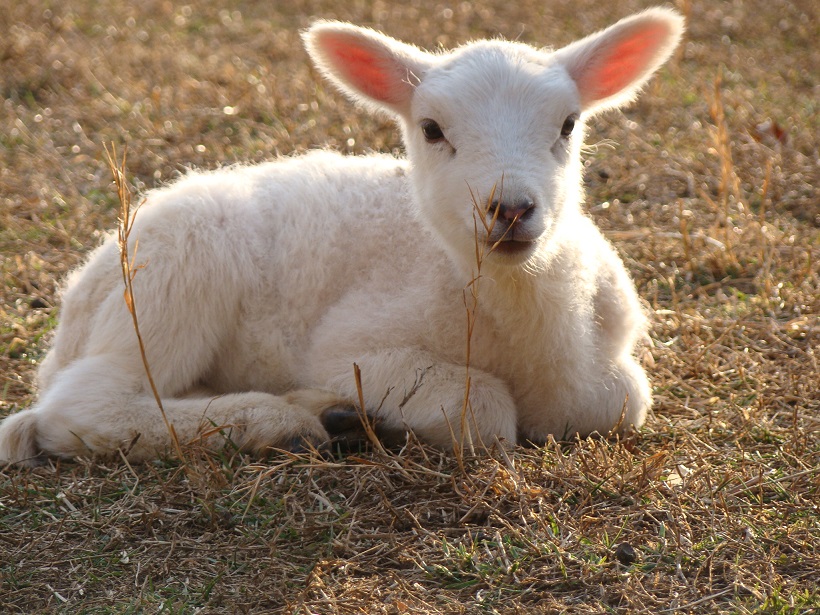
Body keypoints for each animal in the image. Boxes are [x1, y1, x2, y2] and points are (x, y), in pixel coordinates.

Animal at [0, 8, 684, 466]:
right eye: (431, 130)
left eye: (568, 124)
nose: (510, 209)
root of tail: (76, 303)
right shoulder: (350, 348)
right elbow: (483, 411)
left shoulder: (611, 364)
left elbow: (623, 398)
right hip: (171, 279)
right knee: (81, 407)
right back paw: (293, 417)